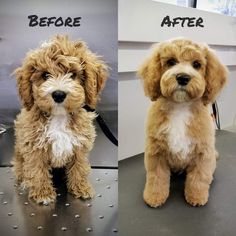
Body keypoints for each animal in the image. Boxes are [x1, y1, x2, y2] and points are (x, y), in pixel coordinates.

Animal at [12, 35, 108, 205]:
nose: (58, 94)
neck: (59, 116)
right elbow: (37, 169)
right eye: (45, 75)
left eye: (73, 74)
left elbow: (79, 166)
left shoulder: (80, 144)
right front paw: (43, 193)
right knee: (21, 169)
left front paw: (81, 188)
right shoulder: (33, 145)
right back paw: (25, 181)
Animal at [137, 37, 228, 206]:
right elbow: (156, 177)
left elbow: (199, 176)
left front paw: (197, 196)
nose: (183, 77)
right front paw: (154, 197)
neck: (180, 107)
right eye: (171, 61)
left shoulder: (202, 152)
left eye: (197, 64)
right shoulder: (156, 151)